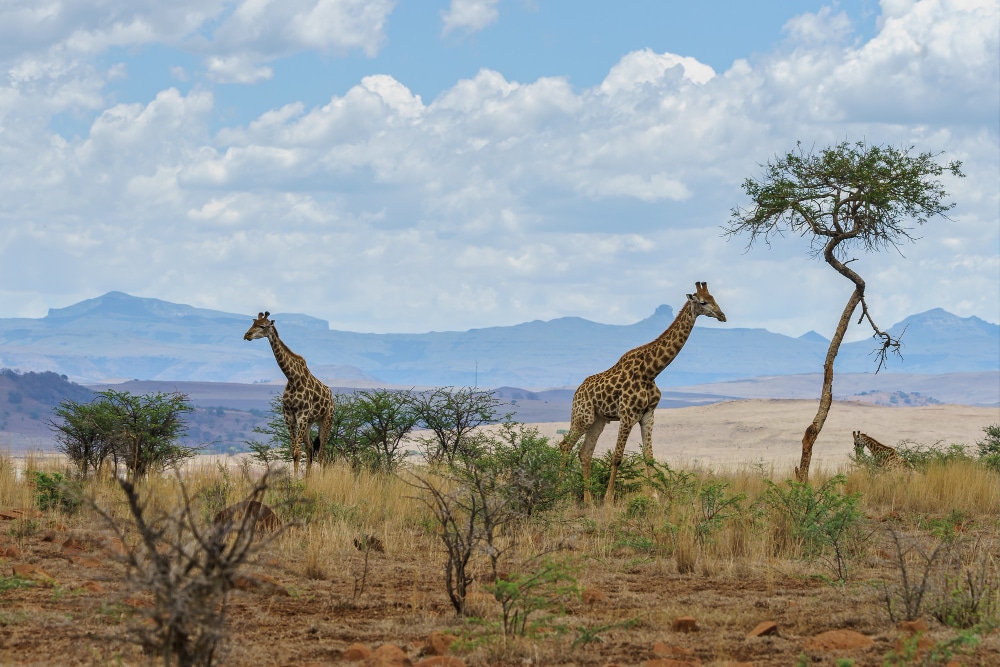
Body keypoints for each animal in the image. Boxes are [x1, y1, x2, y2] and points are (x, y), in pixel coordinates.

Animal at [244, 310, 334, 478]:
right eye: (253, 323)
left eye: (263, 326)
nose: (247, 335)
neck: (292, 379)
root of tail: (331, 397)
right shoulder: (289, 416)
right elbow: (294, 452)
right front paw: (297, 479)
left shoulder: (302, 415)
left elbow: (297, 452)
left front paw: (295, 480)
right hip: (310, 422)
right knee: (311, 449)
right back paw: (308, 478)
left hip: (326, 419)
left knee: (322, 452)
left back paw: (321, 478)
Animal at [556, 282, 728, 506]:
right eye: (703, 302)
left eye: (714, 298)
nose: (722, 315)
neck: (651, 371)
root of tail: (577, 391)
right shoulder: (628, 414)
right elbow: (617, 457)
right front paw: (609, 500)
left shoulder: (648, 415)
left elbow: (649, 456)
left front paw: (655, 497)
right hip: (582, 416)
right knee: (565, 445)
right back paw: (558, 493)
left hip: (598, 420)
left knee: (585, 453)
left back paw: (589, 501)